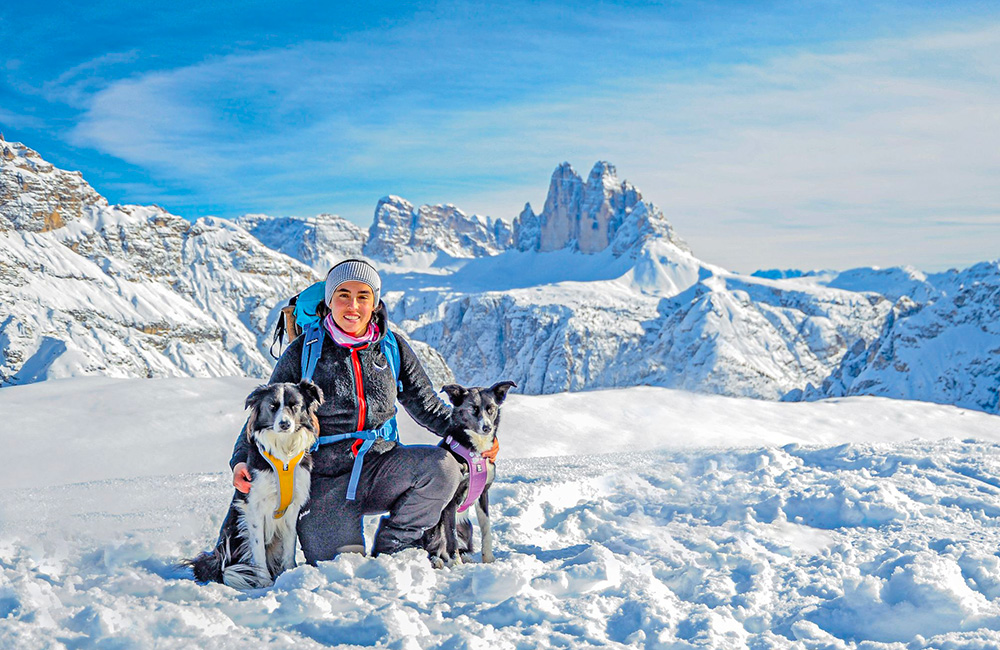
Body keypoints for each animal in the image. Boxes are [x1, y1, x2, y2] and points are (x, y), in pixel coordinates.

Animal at [182, 380, 318, 588]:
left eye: (295, 405)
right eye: (273, 406)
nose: (285, 424)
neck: (284, 458)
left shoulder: (293, 508)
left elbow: (290, 545)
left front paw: (289, 573)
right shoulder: (254, 509)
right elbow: (258, 549)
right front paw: (264, 581)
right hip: (234, 534)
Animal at [422, 378, 516, 564]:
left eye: (491, 408)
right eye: (473, 408)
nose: (487, 427)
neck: (475, 452)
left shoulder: (483, 493)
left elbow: (486, 527)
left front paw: (488, 558)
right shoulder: (450, 502)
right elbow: (451, 537)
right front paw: (456, 564)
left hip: (467, 527)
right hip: (433, 526)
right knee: (434, 547)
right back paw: (439, 561)